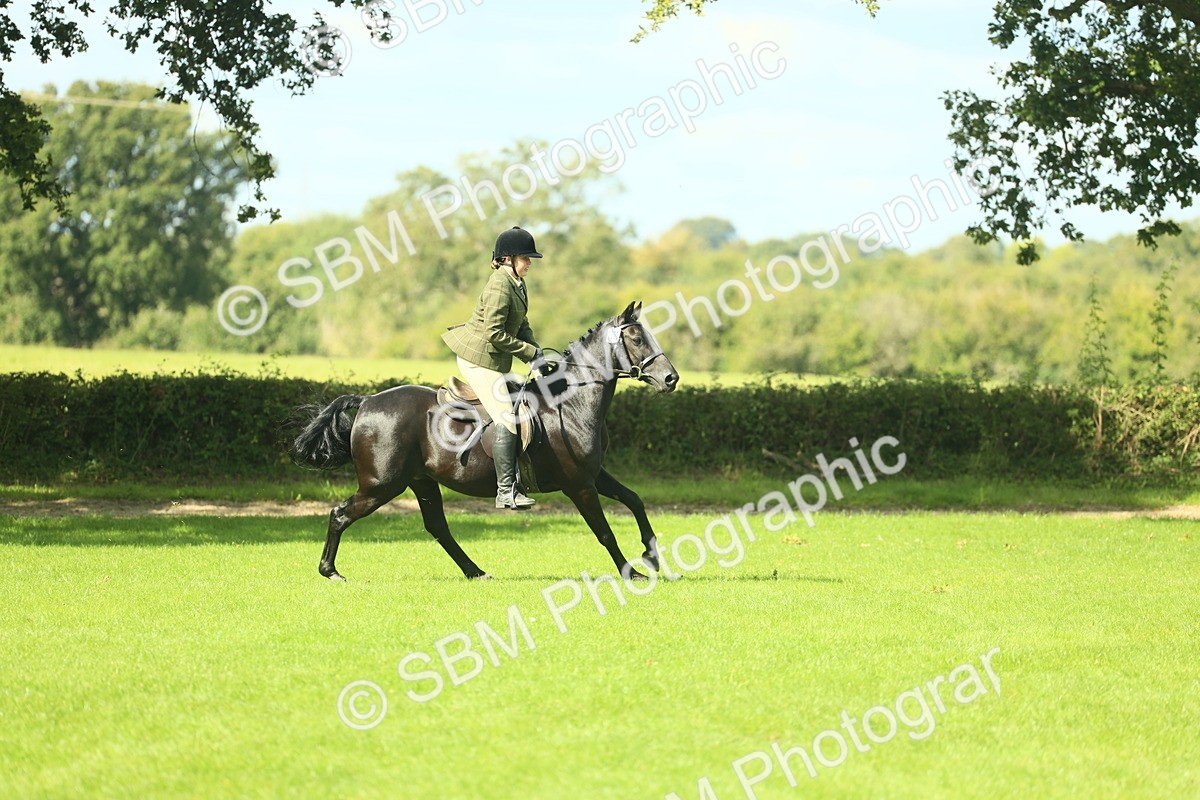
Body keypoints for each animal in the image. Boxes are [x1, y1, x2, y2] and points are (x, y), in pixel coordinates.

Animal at [289, 301, 679, 581]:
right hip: (381, 485)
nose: (671, 379)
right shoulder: (579, 484)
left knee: (438, 528)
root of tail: (368, 401)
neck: (570, 403)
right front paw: (632, 573)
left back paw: (475, 572)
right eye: (637, 338)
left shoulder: (594, 475)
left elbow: (635, 500)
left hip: (420, 481)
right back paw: (331, 572)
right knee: (340, 514)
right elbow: (604, 532)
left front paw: (651, 555)